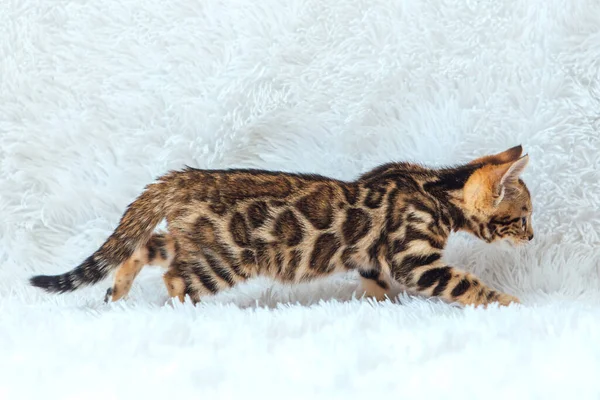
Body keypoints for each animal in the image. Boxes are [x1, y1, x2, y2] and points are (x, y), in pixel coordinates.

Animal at [30, 145, 532, 308]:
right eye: (524, 216)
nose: (531, 237)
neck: (435, 188)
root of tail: (183, 178)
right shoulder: (415, 260)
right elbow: (466, 285)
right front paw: (509, 302)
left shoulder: (373, 257)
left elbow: (375, 281)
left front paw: (384, 305)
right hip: (224, 258)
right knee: (174, 275)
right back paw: (184, 309)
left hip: (193, 241)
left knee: (145, 245)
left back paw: (117, 291)